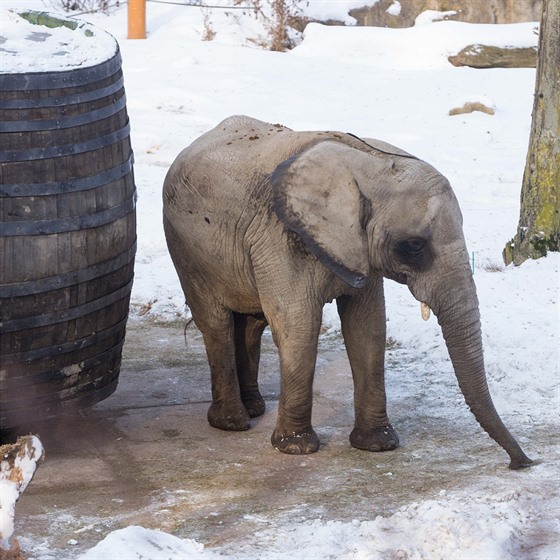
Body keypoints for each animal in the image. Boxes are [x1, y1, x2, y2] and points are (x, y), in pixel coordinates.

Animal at [163, 114, 532, 468]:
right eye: (414, 245)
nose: (523, 463)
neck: (368, 163)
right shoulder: (279, 236)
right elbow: (299, 326)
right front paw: (296, 448)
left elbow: (368, 327)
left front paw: (378, 445)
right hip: (188, 250)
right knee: (217, 324)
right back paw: (233, 422)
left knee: (253, 323)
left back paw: (254, 409)